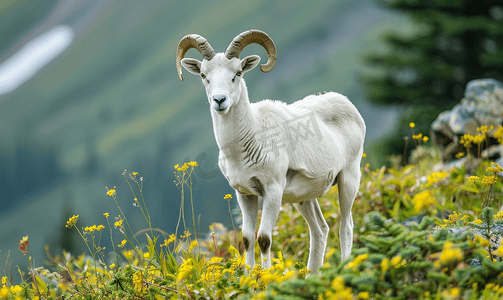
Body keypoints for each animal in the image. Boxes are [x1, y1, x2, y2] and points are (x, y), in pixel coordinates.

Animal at [177, 29, 366, 272]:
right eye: (203, 75)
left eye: (237, 72)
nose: (220, 100)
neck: (251, 138)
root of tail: (346, 104)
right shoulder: (245, 194)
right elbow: (247, 239)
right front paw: (249, 276)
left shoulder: (272, 191)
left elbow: (264, 239)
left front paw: (265, 275)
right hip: (305, 198)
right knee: (320, 230)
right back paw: (311, 275)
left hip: (348, 179)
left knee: (346, 226)